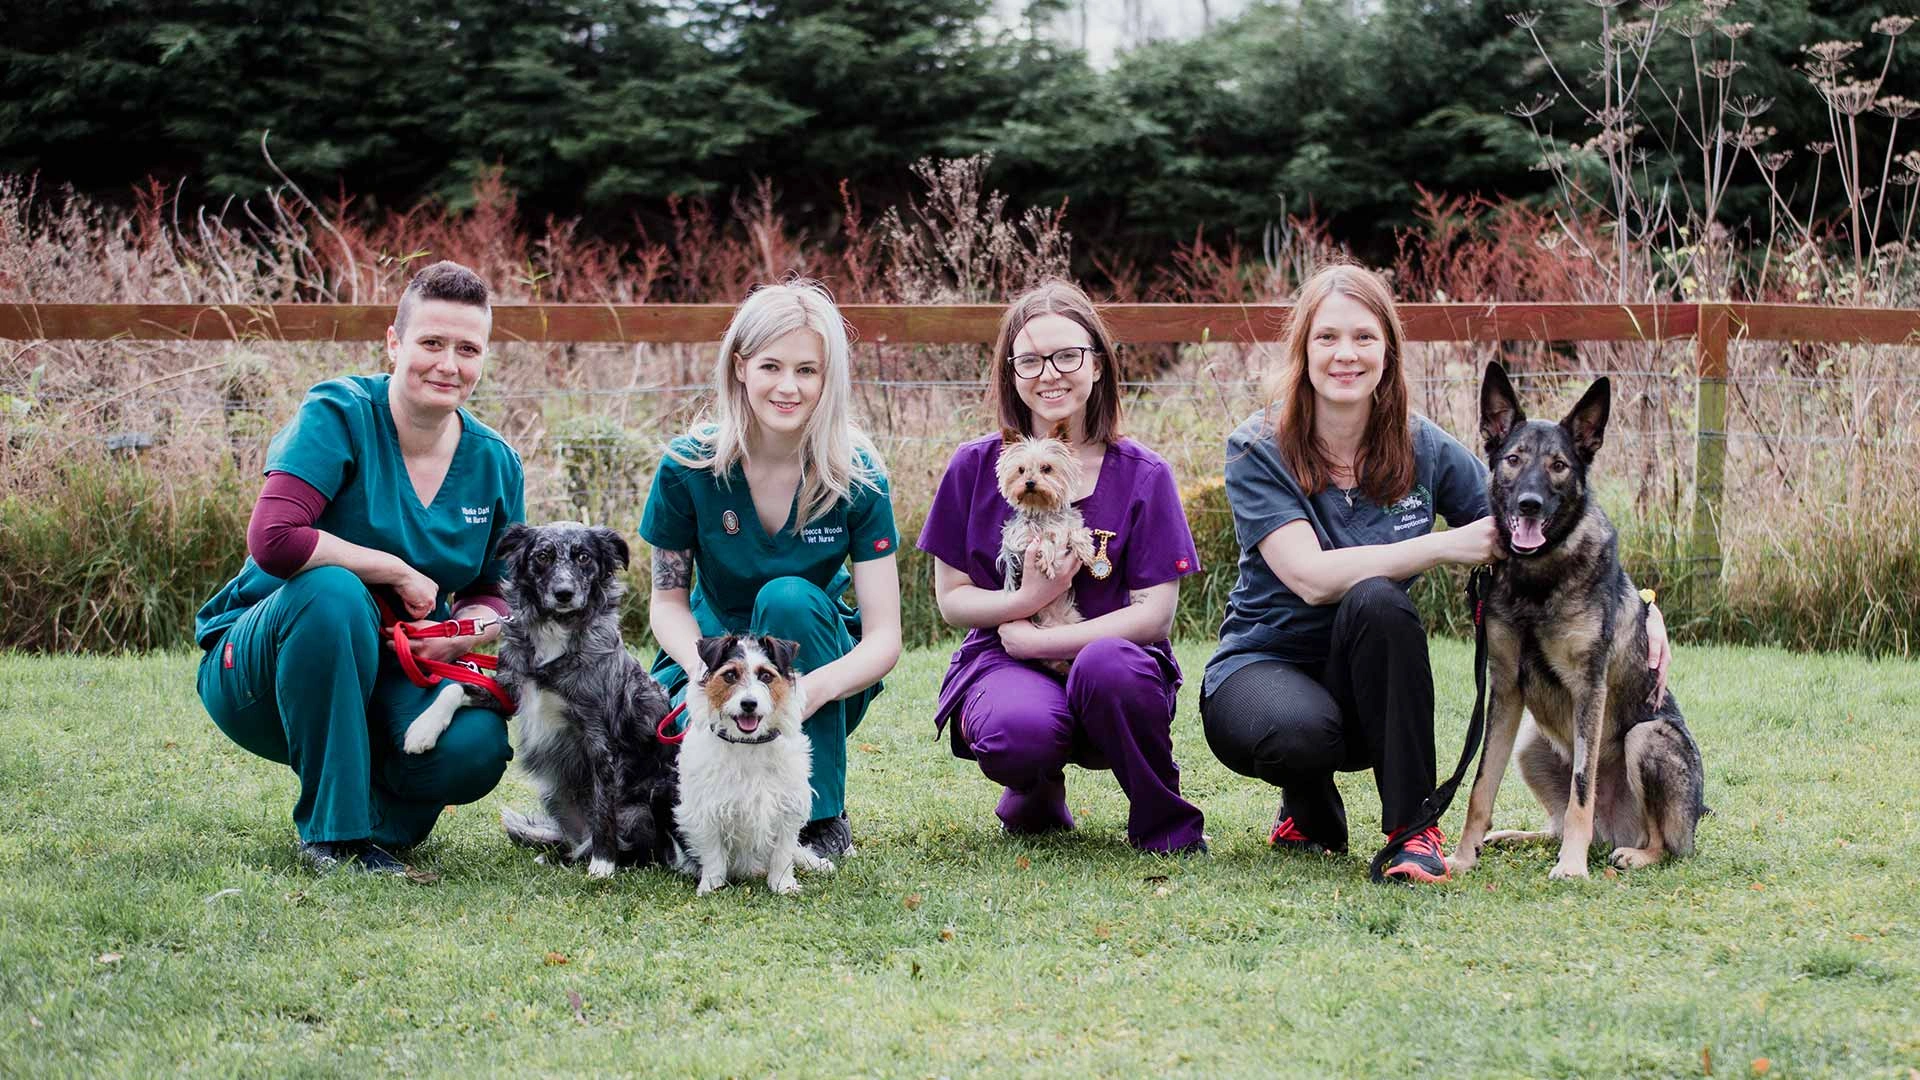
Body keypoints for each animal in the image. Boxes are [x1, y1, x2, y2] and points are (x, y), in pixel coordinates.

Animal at [1443, 361, 1704, 876]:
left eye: (1559, 466)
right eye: (1514, 459)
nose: (1529, 503)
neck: (1538, 579)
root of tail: (1613, 830)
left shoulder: (1589, 689)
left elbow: (1582, 785)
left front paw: (1571, 868)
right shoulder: (1505, 690)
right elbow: (1481, 786)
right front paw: (1462, 859)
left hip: (1647, 737)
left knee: (1659, 842)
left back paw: (1631, 854)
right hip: (1529, 742)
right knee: (1556, 823)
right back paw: (1513, 837)